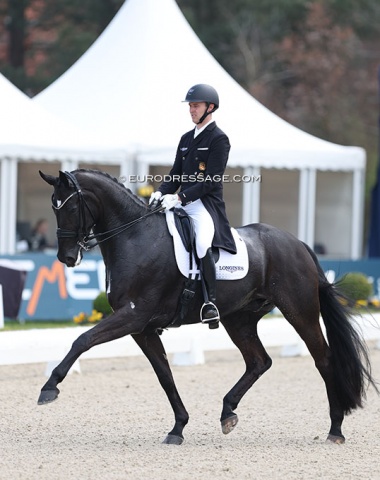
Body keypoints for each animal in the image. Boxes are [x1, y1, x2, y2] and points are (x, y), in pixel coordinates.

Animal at [38, 170, 378, 446]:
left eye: (70, 207)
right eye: (53, 206)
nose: (67, 258)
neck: (135, 238)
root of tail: (299, 244)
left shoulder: (133, 316)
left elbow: (83, 340)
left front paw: (49, 387)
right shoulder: (142, 328)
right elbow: (165, 375)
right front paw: (178, 428)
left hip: (300, 312)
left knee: (324, 359)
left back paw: (335, 429)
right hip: (239, 319)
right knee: (259, 361)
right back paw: (228, 412)